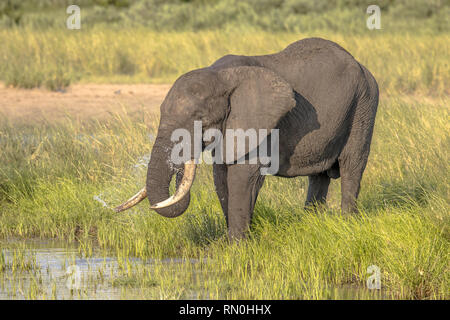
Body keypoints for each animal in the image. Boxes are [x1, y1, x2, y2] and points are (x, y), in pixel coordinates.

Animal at [115, 37, 380, 240]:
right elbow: (221, 176)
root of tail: (362, 65)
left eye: (199, 118)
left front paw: (237, 245)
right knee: (319, 176)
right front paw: (235, 240)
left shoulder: (257, 122)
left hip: (364, 103)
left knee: (352, 166)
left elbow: (242, 175)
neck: (219, 74)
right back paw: (311, 221)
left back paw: (348, 223)